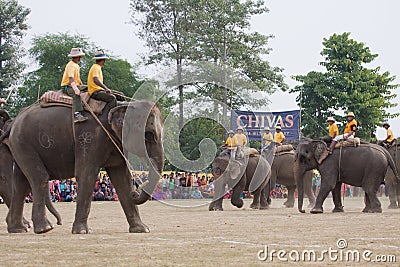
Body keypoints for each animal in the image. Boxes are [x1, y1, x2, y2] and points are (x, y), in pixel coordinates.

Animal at [6, 100, 162, 234]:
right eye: (149, 135)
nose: (135, 193)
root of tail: (15, 120)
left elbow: (122, 178)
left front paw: (142, 229)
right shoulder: (89, 138)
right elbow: (86, 173)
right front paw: (82, 231)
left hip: (20, 146)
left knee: (21, 184)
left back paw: (18, 229)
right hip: (23, 143)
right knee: (39, 178)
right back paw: (44, 228)